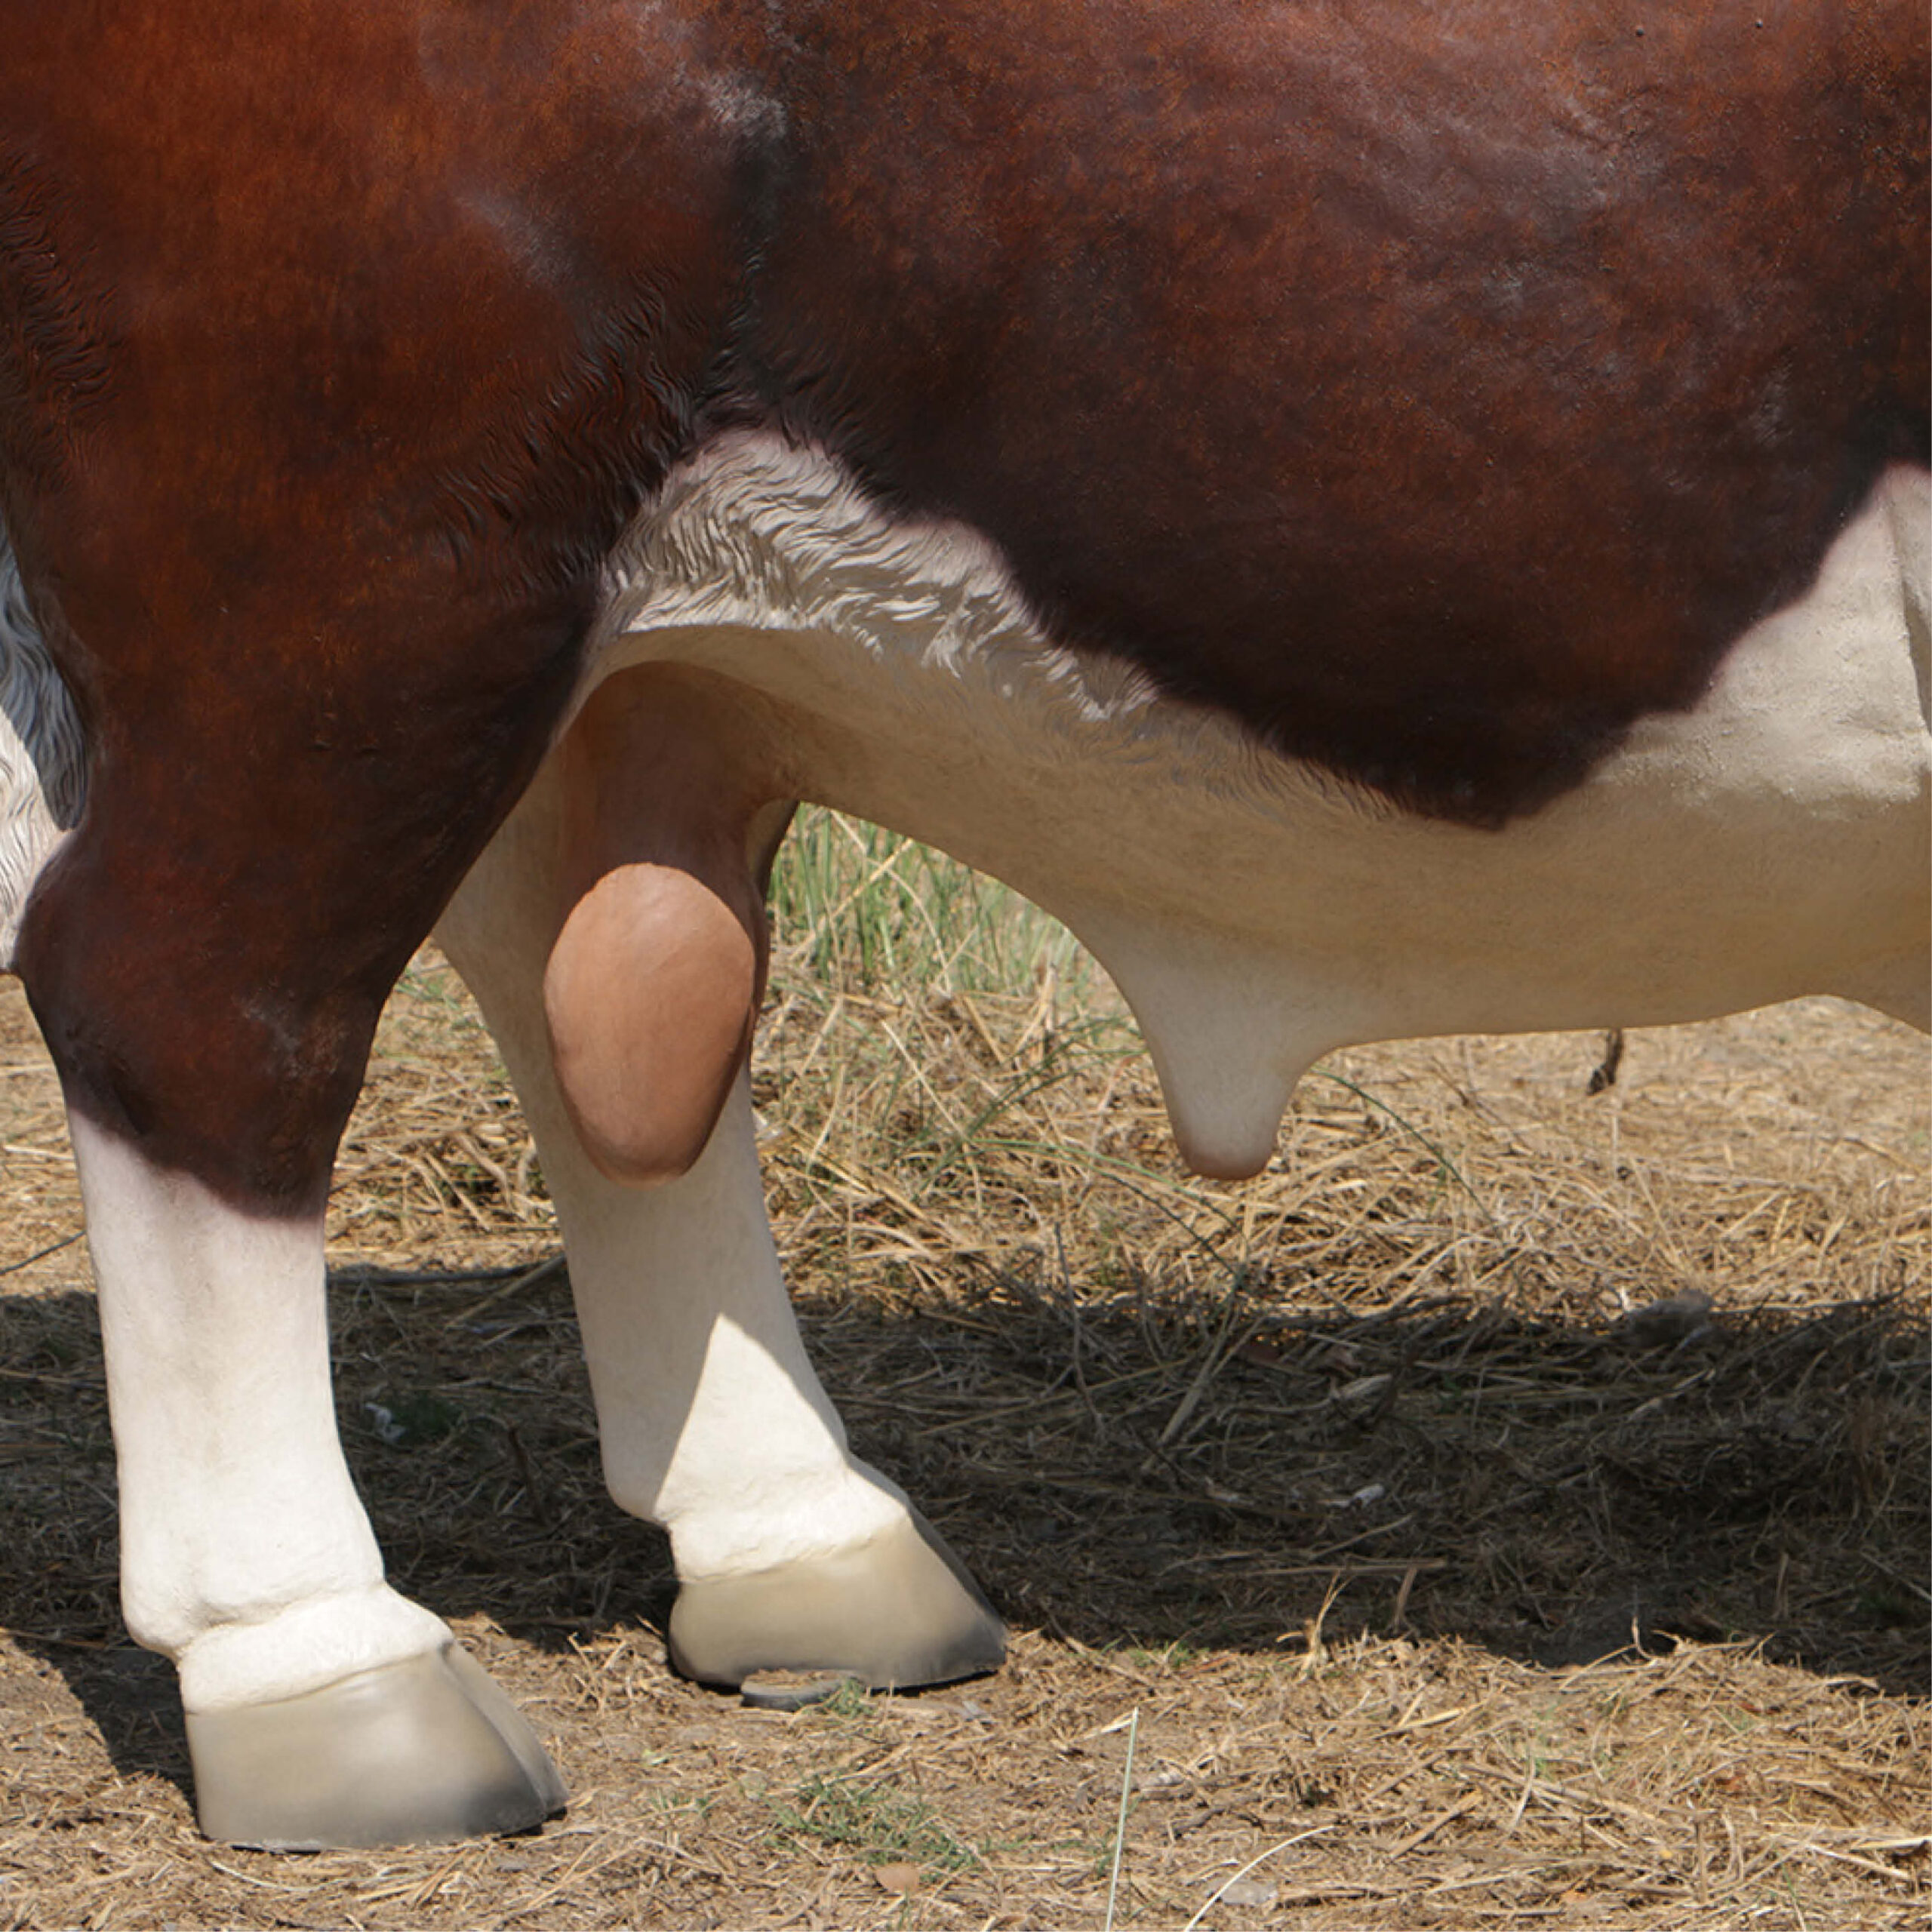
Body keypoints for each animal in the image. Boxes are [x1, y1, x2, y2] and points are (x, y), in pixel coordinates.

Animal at [0, 0, 1924, 1853]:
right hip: (342, 537)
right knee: (196, 1002)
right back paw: (321, 1670)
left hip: (546, 618)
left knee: (574, 977)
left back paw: (801, 1543)